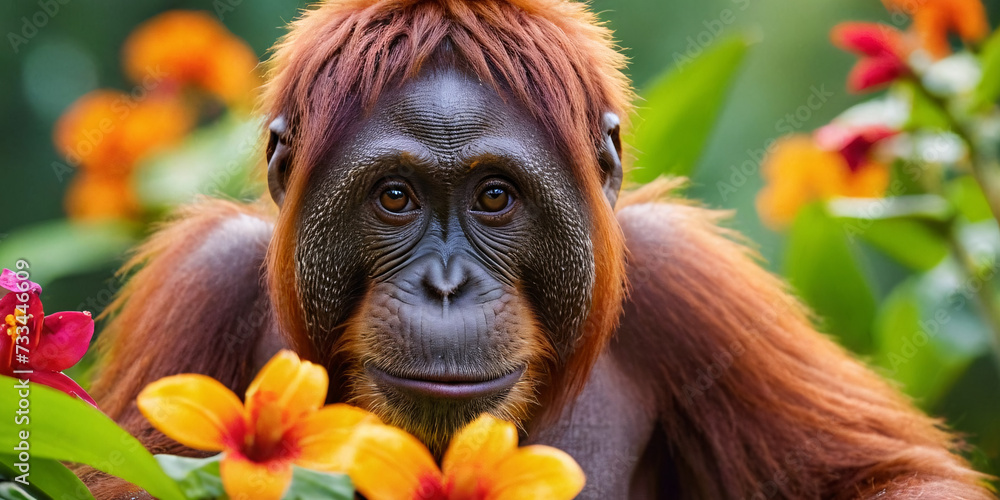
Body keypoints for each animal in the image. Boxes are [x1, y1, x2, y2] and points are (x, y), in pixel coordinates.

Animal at [80, 1, 993, 498]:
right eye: (395, 197)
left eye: (495, 197)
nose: (447, 284)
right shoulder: (205, 284)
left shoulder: (690, 281)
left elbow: (888, 477)